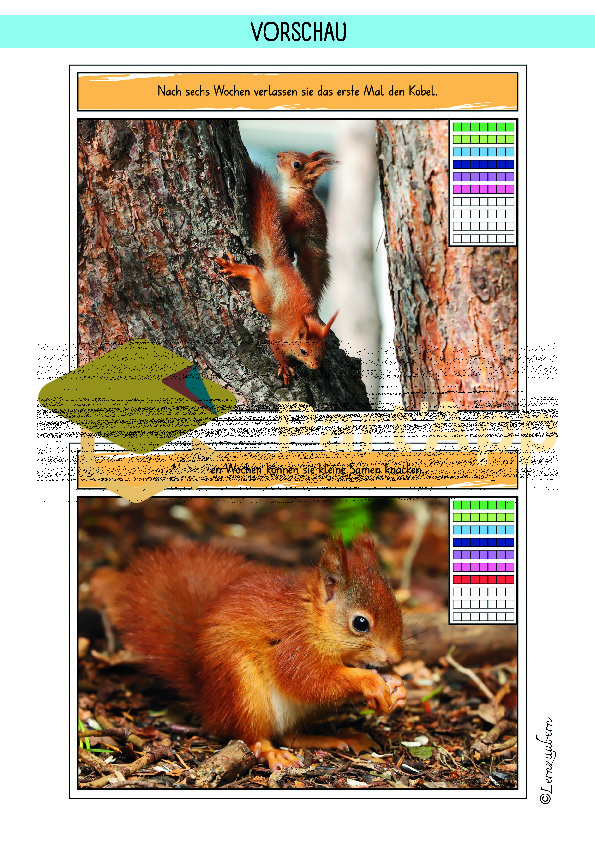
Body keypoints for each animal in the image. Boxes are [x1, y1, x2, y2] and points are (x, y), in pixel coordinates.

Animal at [118, 533, 407, 771]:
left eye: (398, 607)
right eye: (361, 623)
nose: (395, 658)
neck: (312, 622)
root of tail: (208, 705)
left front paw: (396, 686)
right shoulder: (292, 649)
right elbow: (312, 681)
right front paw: (370, 681)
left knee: (291, 736)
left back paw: (338, 737)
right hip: (243, 691)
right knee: (252, 737)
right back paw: (272, 753)